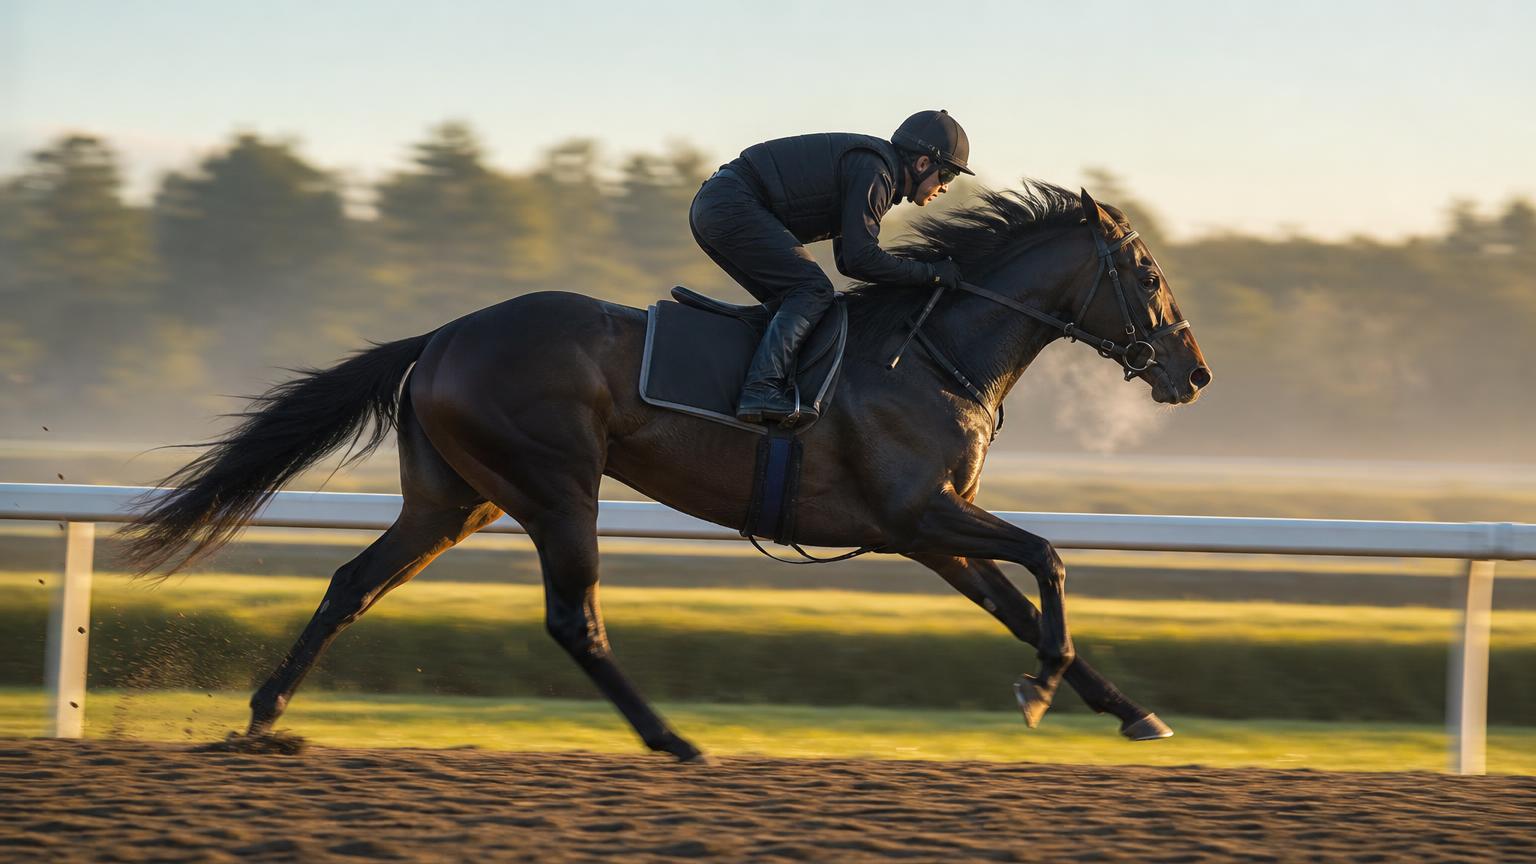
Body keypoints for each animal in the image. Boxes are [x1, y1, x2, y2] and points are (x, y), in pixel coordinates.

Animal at [121, 182, 1211, 762]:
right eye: (1150, 275)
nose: (1193, 373)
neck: (935, 352)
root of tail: (440, 337)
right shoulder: (918, 515)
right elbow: (1051, 559)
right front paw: (1041, 691)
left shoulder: (930, 533)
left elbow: (1024, 603)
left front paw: (1131, 712)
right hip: (556, 487)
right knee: (575, 619)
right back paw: (673, 739)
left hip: (456, 498)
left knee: (353, 582)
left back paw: (265, 717)